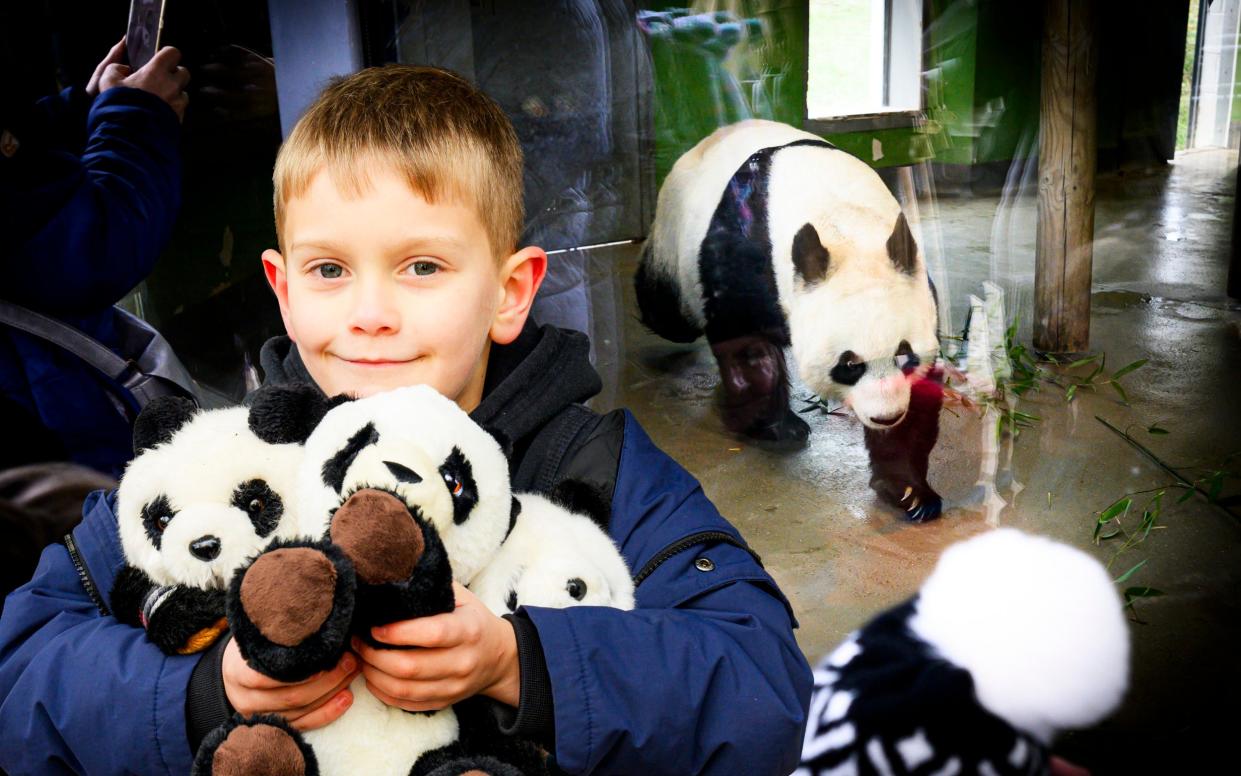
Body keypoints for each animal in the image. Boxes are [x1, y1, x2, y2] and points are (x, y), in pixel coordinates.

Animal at [635, 119, 943, 521]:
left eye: (905, 355)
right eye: (849, 364)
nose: (886, 416)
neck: (842, 223)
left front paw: (909, 490)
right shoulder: (742, 248)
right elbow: (746, 344)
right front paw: (774, 426)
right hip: (675, 246)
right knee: (667, 311)